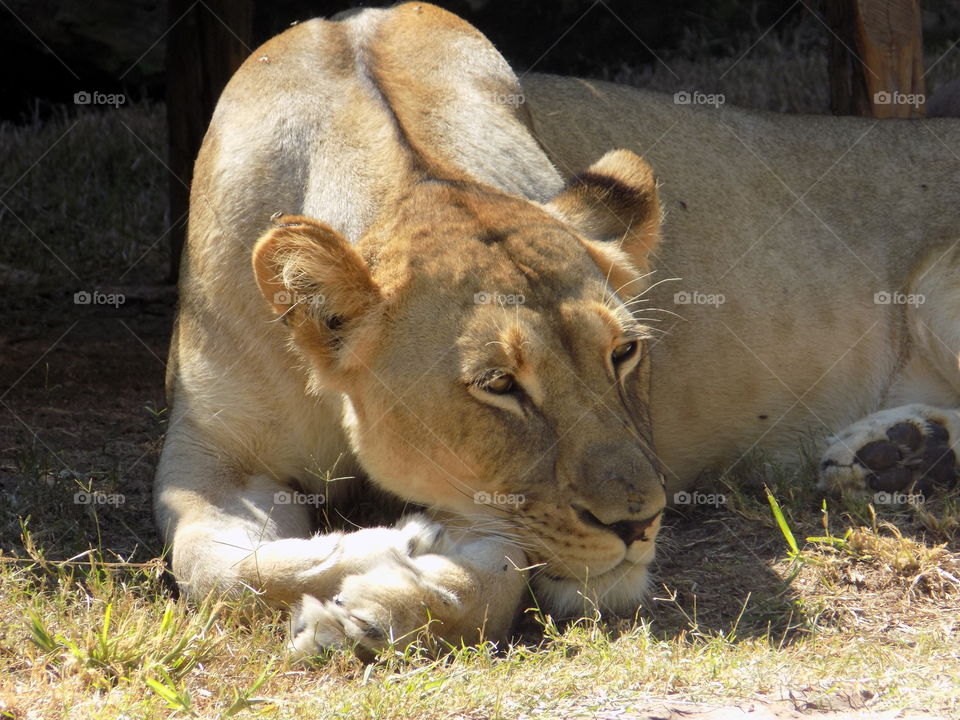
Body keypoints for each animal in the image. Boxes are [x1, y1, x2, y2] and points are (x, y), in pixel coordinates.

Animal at [155, 2, 960, 657]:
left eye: (624, 353)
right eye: (498, 385)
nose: (638, 525)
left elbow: (499, 577)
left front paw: (387, 600)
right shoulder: (212, 453)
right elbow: (211, 568)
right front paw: (392, 551)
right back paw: (905, 455)